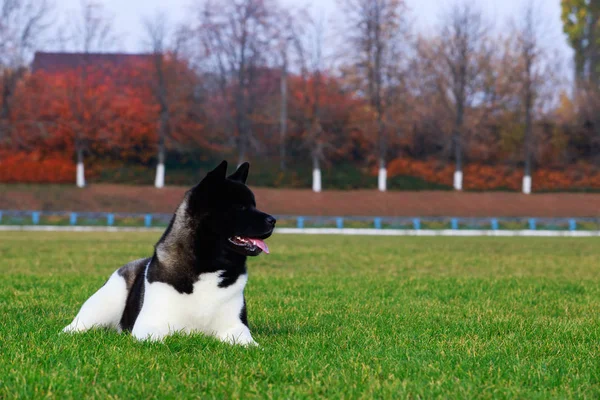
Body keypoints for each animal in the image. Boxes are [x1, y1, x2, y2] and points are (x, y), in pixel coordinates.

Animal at [62, 161, 274, 346]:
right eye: (240, 207)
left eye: (254, 205)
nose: (273, 220)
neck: (207, 266)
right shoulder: (148, 325)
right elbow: (157, 339)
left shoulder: (235, 327)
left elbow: (248, 343)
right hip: (105, 303)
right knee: (75, 327)